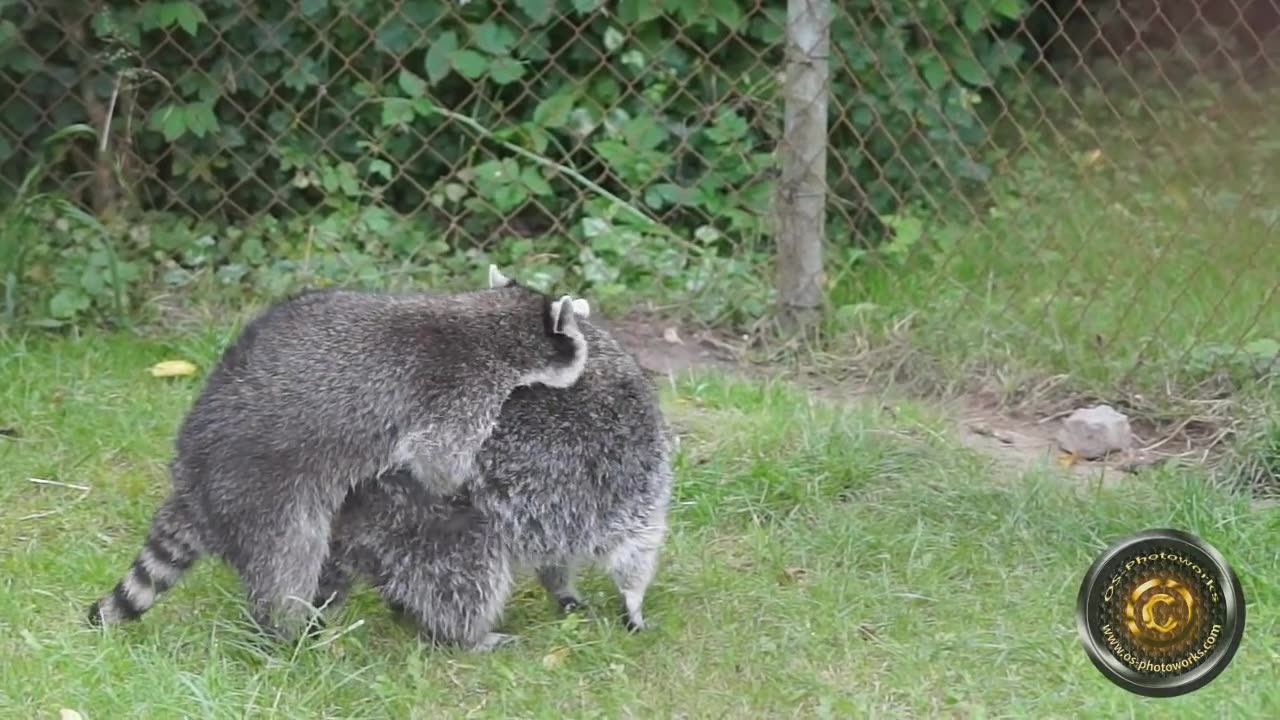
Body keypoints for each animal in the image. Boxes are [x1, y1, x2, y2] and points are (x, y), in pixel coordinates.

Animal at [82, 266, 591, 635]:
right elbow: (440, 465)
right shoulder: (459, 391)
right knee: (291, 554)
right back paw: (286, 629)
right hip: (261, 494)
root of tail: (191, 482)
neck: (489, 320)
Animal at [316, 313, 675, 650]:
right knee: (467, 577)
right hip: (431, 522)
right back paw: (468, 636)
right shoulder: (632, 475)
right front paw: (633, 601)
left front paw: (561, 585)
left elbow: (557, 555)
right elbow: (635, 546)